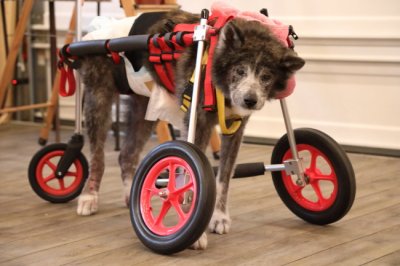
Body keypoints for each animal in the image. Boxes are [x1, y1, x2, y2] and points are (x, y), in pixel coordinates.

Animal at [74, 7, 304, 249]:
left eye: (266, 76)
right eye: (240, 70)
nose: (250, 100)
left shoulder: (235, 129)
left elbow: (224, 177)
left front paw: (219, 217)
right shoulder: (198, 123)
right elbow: (190, 176)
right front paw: (195, 230)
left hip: (143, 110)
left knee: (126, 154)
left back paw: (132, 195)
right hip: (98, 99)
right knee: (97, 157)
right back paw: (89, 197)